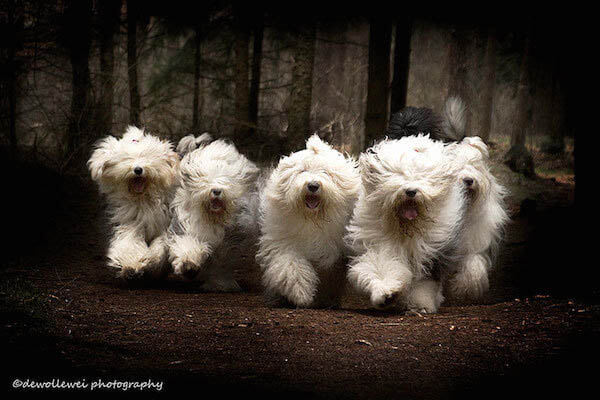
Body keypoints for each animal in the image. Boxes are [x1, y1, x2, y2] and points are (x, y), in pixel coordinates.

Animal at [88, 126, 179, 280]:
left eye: (146, 157)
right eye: (126, 159)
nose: (138, 170)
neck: (143, 200)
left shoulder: (164, 225)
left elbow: (160, 245)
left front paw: (152, 259)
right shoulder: (130, 223)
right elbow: (130, 243)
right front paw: (133, 265)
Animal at [168, 138, 258, 290]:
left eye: (228, 181)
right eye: (204, 179)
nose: (216, 191)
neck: (211, 216)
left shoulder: (227, 242)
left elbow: (221, 263)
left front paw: (219, 283)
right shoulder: (186, 226)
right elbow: (187, 243)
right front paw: (188, 263)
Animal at [255, 136, 358, 308]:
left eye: (325, 172)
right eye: (301, 171)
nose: (313, 185)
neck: (312, 219)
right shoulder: (284, 243)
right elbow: (291, 265)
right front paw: (301, 294)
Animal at [344, 136, 466, 314]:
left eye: (421, 176)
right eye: (398, 174)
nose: (411, 191)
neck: (406, 228)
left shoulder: (431, 252)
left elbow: (424, 282)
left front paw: (420, 304)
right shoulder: (380, 243)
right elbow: (381, 264)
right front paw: (386, 292)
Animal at [446, 136, 506, 298]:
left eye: (475, 167)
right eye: (457, 168)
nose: (468, 180)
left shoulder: (473, 241)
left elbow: (473, 263)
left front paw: (464, 287)